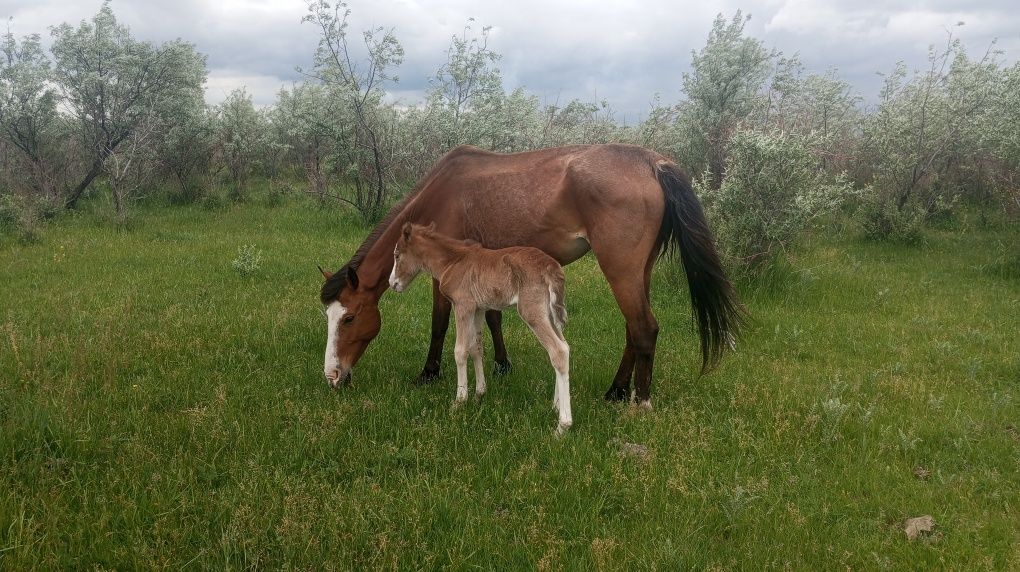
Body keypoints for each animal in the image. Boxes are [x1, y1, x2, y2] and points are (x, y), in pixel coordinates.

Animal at [322, 144, 746, 407]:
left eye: (350, 317)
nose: (333, 375)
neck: (440, 193)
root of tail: (652, 162)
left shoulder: (447, 275)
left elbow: (439, 324)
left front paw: (428, 373)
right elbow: (493, 319)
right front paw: (501, 364)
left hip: (620, 268)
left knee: (644, 327)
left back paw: (637, 400)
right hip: (640, 270)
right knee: (634, 328)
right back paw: (616, 391)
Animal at [387, 222, 571, 432]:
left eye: (397, 255)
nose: (392, 283)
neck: (453, 261)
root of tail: (551, 266)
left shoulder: (463, 305)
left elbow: (460, 351)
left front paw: (459, 401)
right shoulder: (478, 309)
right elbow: (476, 348)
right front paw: (479, 394)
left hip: (532, 311)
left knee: (558, 350)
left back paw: (563, 426)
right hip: (550, 314)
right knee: (564, 347)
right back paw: (556, 405)